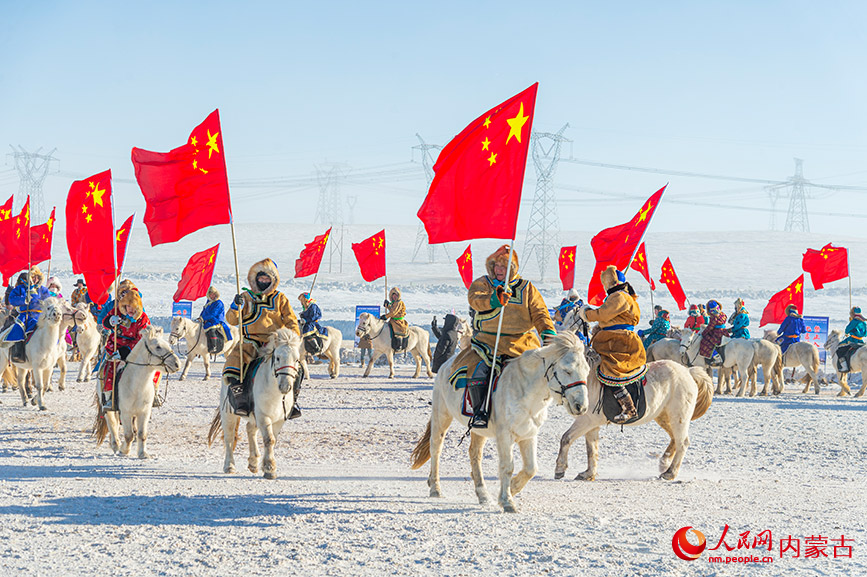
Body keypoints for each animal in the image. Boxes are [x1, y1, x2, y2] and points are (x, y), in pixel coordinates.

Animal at [93, 326, 181, 456]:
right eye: (158, 347)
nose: (177, 364)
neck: (137, 386)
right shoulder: (125, 412)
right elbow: (128, 435)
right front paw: (124, 450)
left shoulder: (144, 412)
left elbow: (141, 434)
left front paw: (143, 454)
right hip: (107, 406)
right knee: (112, 423)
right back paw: (115, 444)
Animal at [208, 328, 306, 476]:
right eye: (277, 357)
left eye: (296, 359)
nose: (285, 386)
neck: (276, 394)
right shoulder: (263, 416)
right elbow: (269, 439)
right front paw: (269, 468)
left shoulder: (279, 420)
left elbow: (273, 439)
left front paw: (267, 467)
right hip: (228, 413)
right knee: (229, 437)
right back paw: (229, 466)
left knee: (250, 429)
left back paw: (253, 463)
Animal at [412, 330, 588, 510]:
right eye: (567, 370)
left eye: (587, 371)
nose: (581, 406)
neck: (525, 389)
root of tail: (445, 366)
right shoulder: (505, 436)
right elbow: (507, 466)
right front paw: (507, 500)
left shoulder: (528, 435)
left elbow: (531, 468)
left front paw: (513, 487)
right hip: (442, 415)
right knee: (436, 448)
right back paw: (435, 487)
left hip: (478, 429)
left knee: (475, 454)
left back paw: (482, 494)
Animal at [556, 360, 712, 482]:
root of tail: (688, 371)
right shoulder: (591, 424)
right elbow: (591, 449)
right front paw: (588, 474)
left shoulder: (586, 421)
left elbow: (566, 438)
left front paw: (559, 469)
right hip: (663, 417)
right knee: (674, 439)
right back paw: (664, 462)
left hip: (678, 417)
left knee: (682, 442)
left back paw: (670, 473)